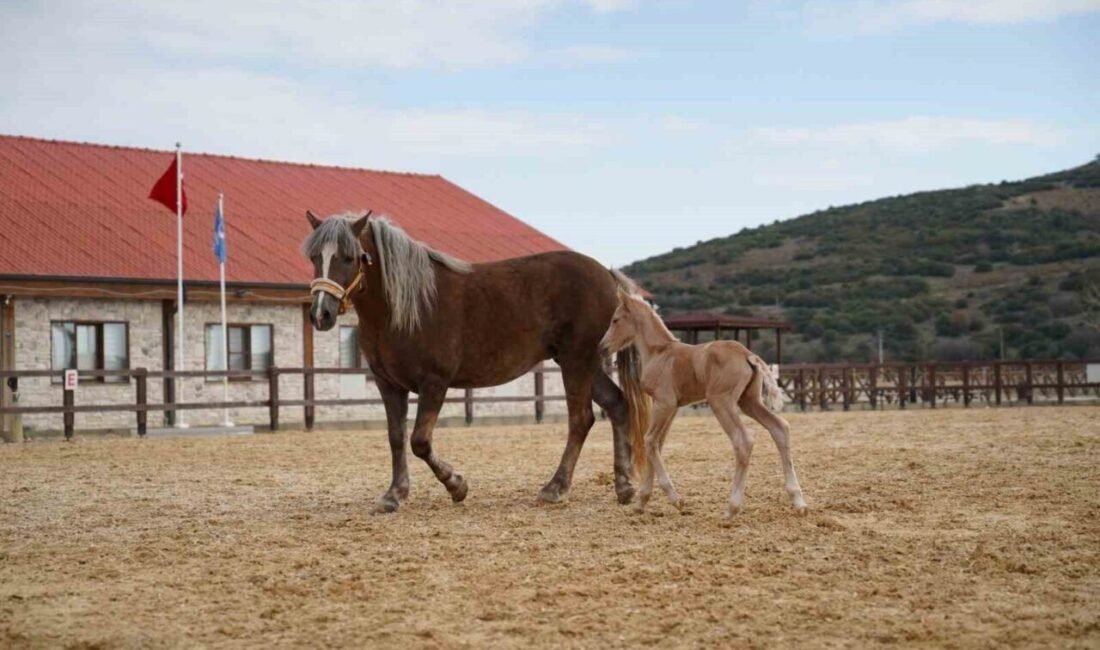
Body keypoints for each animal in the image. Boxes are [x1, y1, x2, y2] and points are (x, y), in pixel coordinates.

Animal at [602, 290, 809, 519]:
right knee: (779, 428)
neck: (660, 352)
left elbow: (649, 440)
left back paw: (731, 509)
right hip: (749, 401)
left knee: (743, 440)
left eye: (615, 320)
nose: (603, 347)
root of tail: (748, 355)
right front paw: (641, 502)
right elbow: (656, 443)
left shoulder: (664, 403)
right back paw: (798, 501)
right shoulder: (672, 407)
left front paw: (676, 499)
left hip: (721, 402)